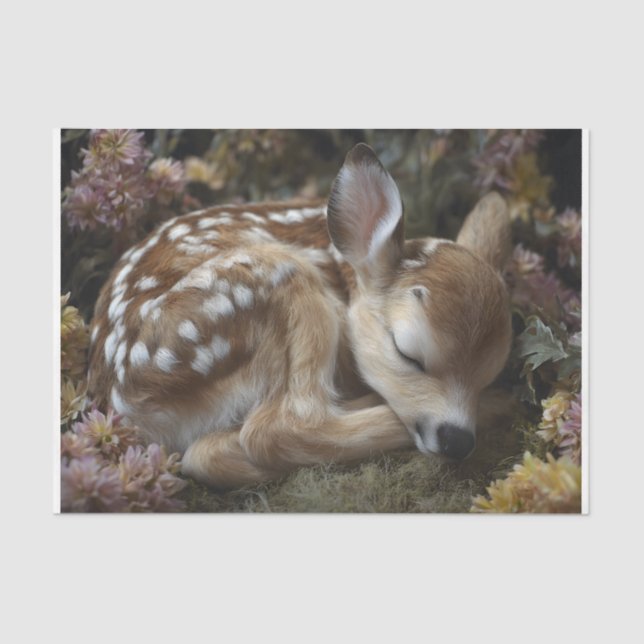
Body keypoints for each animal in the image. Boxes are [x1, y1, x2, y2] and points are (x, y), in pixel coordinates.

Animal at [87, 143, 513, 489]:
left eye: (489, 371)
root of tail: (125, 401)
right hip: (275, 283)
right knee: (279, 429)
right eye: (407, 353)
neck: (343, 272)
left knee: (206, 454)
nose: (457, 440)